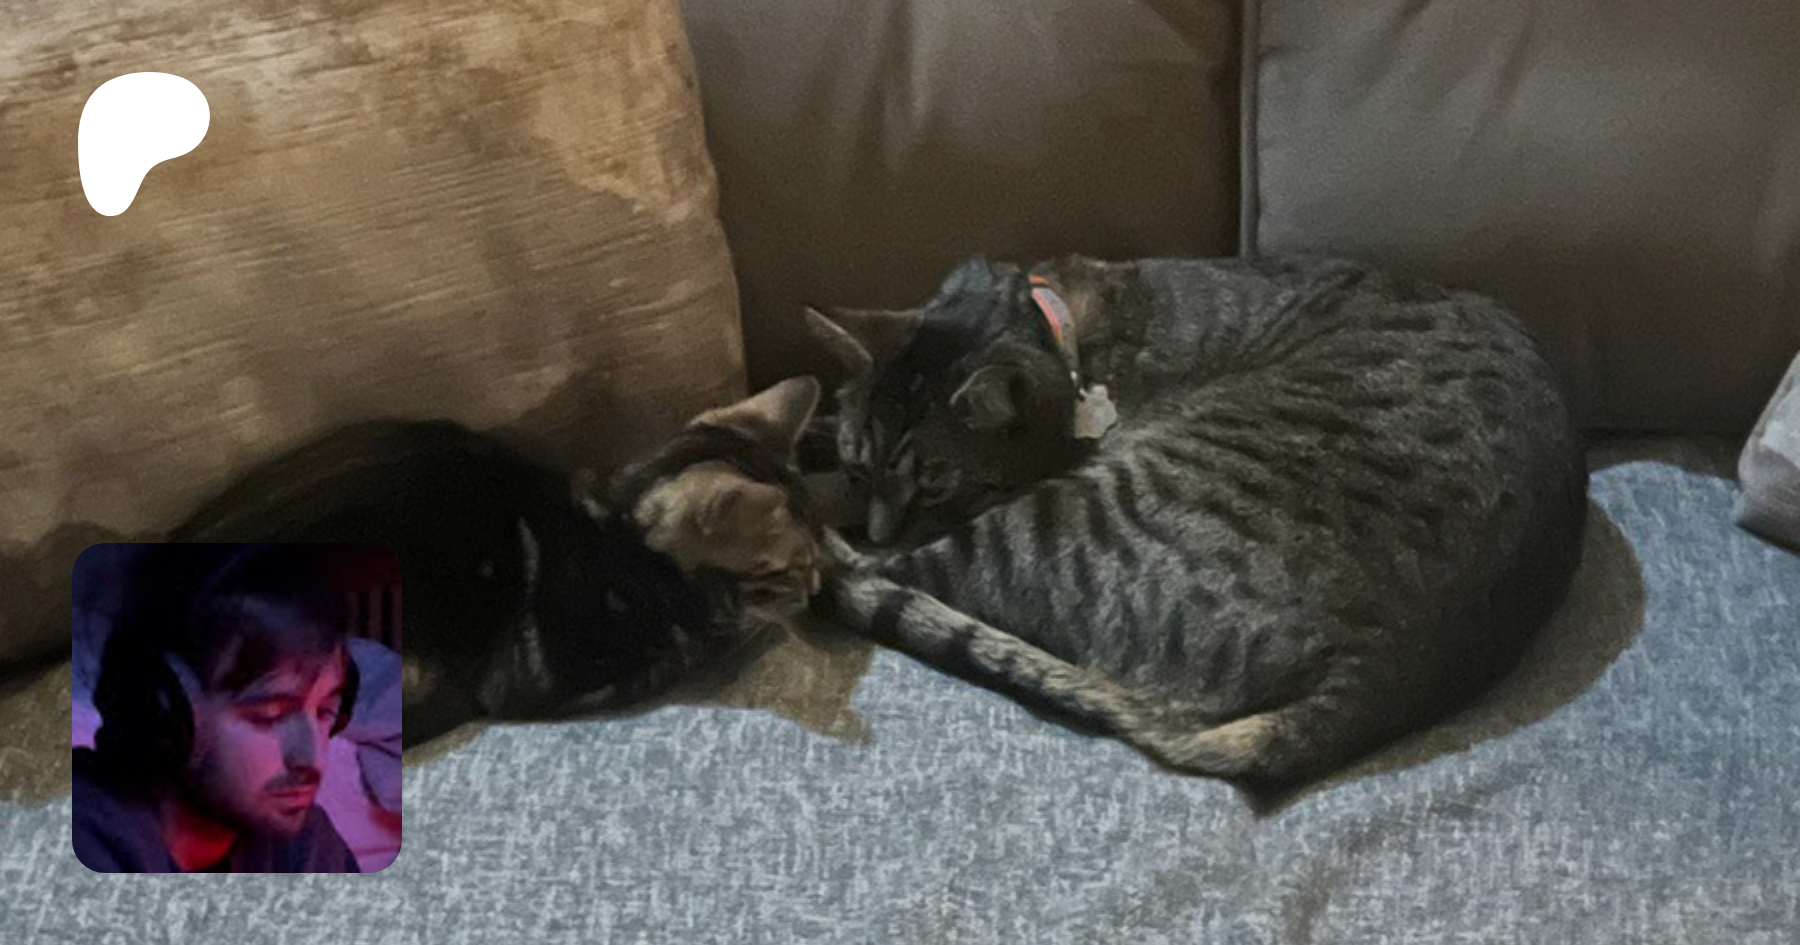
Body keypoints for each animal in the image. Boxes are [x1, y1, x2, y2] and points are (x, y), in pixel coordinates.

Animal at [806, 254, 1588, 789]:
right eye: (859, 466)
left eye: (937, 483)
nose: (879, 524)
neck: (1066, 329)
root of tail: (1376, 666)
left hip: (1073, 518)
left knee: (867, 576)